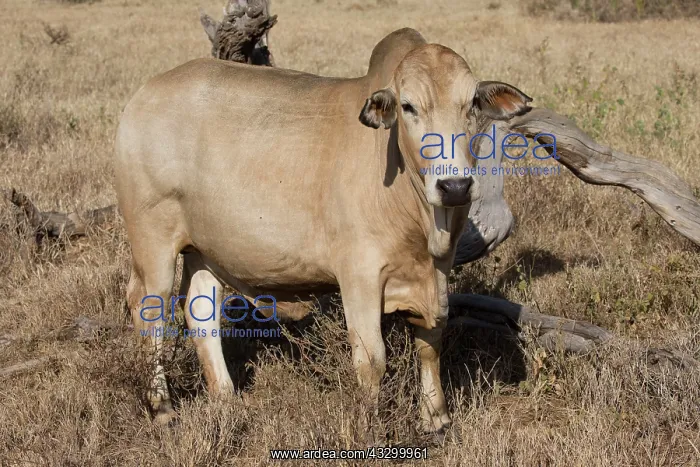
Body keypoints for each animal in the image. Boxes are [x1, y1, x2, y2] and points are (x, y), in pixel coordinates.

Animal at [114, 27, 531, 434]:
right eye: (409, 106)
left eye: (472, 104)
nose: (455, 186)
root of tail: (143, 96)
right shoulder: (360, 274)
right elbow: (372, 359)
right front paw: (369, 426)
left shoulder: (437, 273)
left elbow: (430, 341)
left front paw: (436, 419)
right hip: (153, 241)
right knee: (148, 308)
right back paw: (162, 407)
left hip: (204, 250)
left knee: (201, 311)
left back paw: (225, 397)